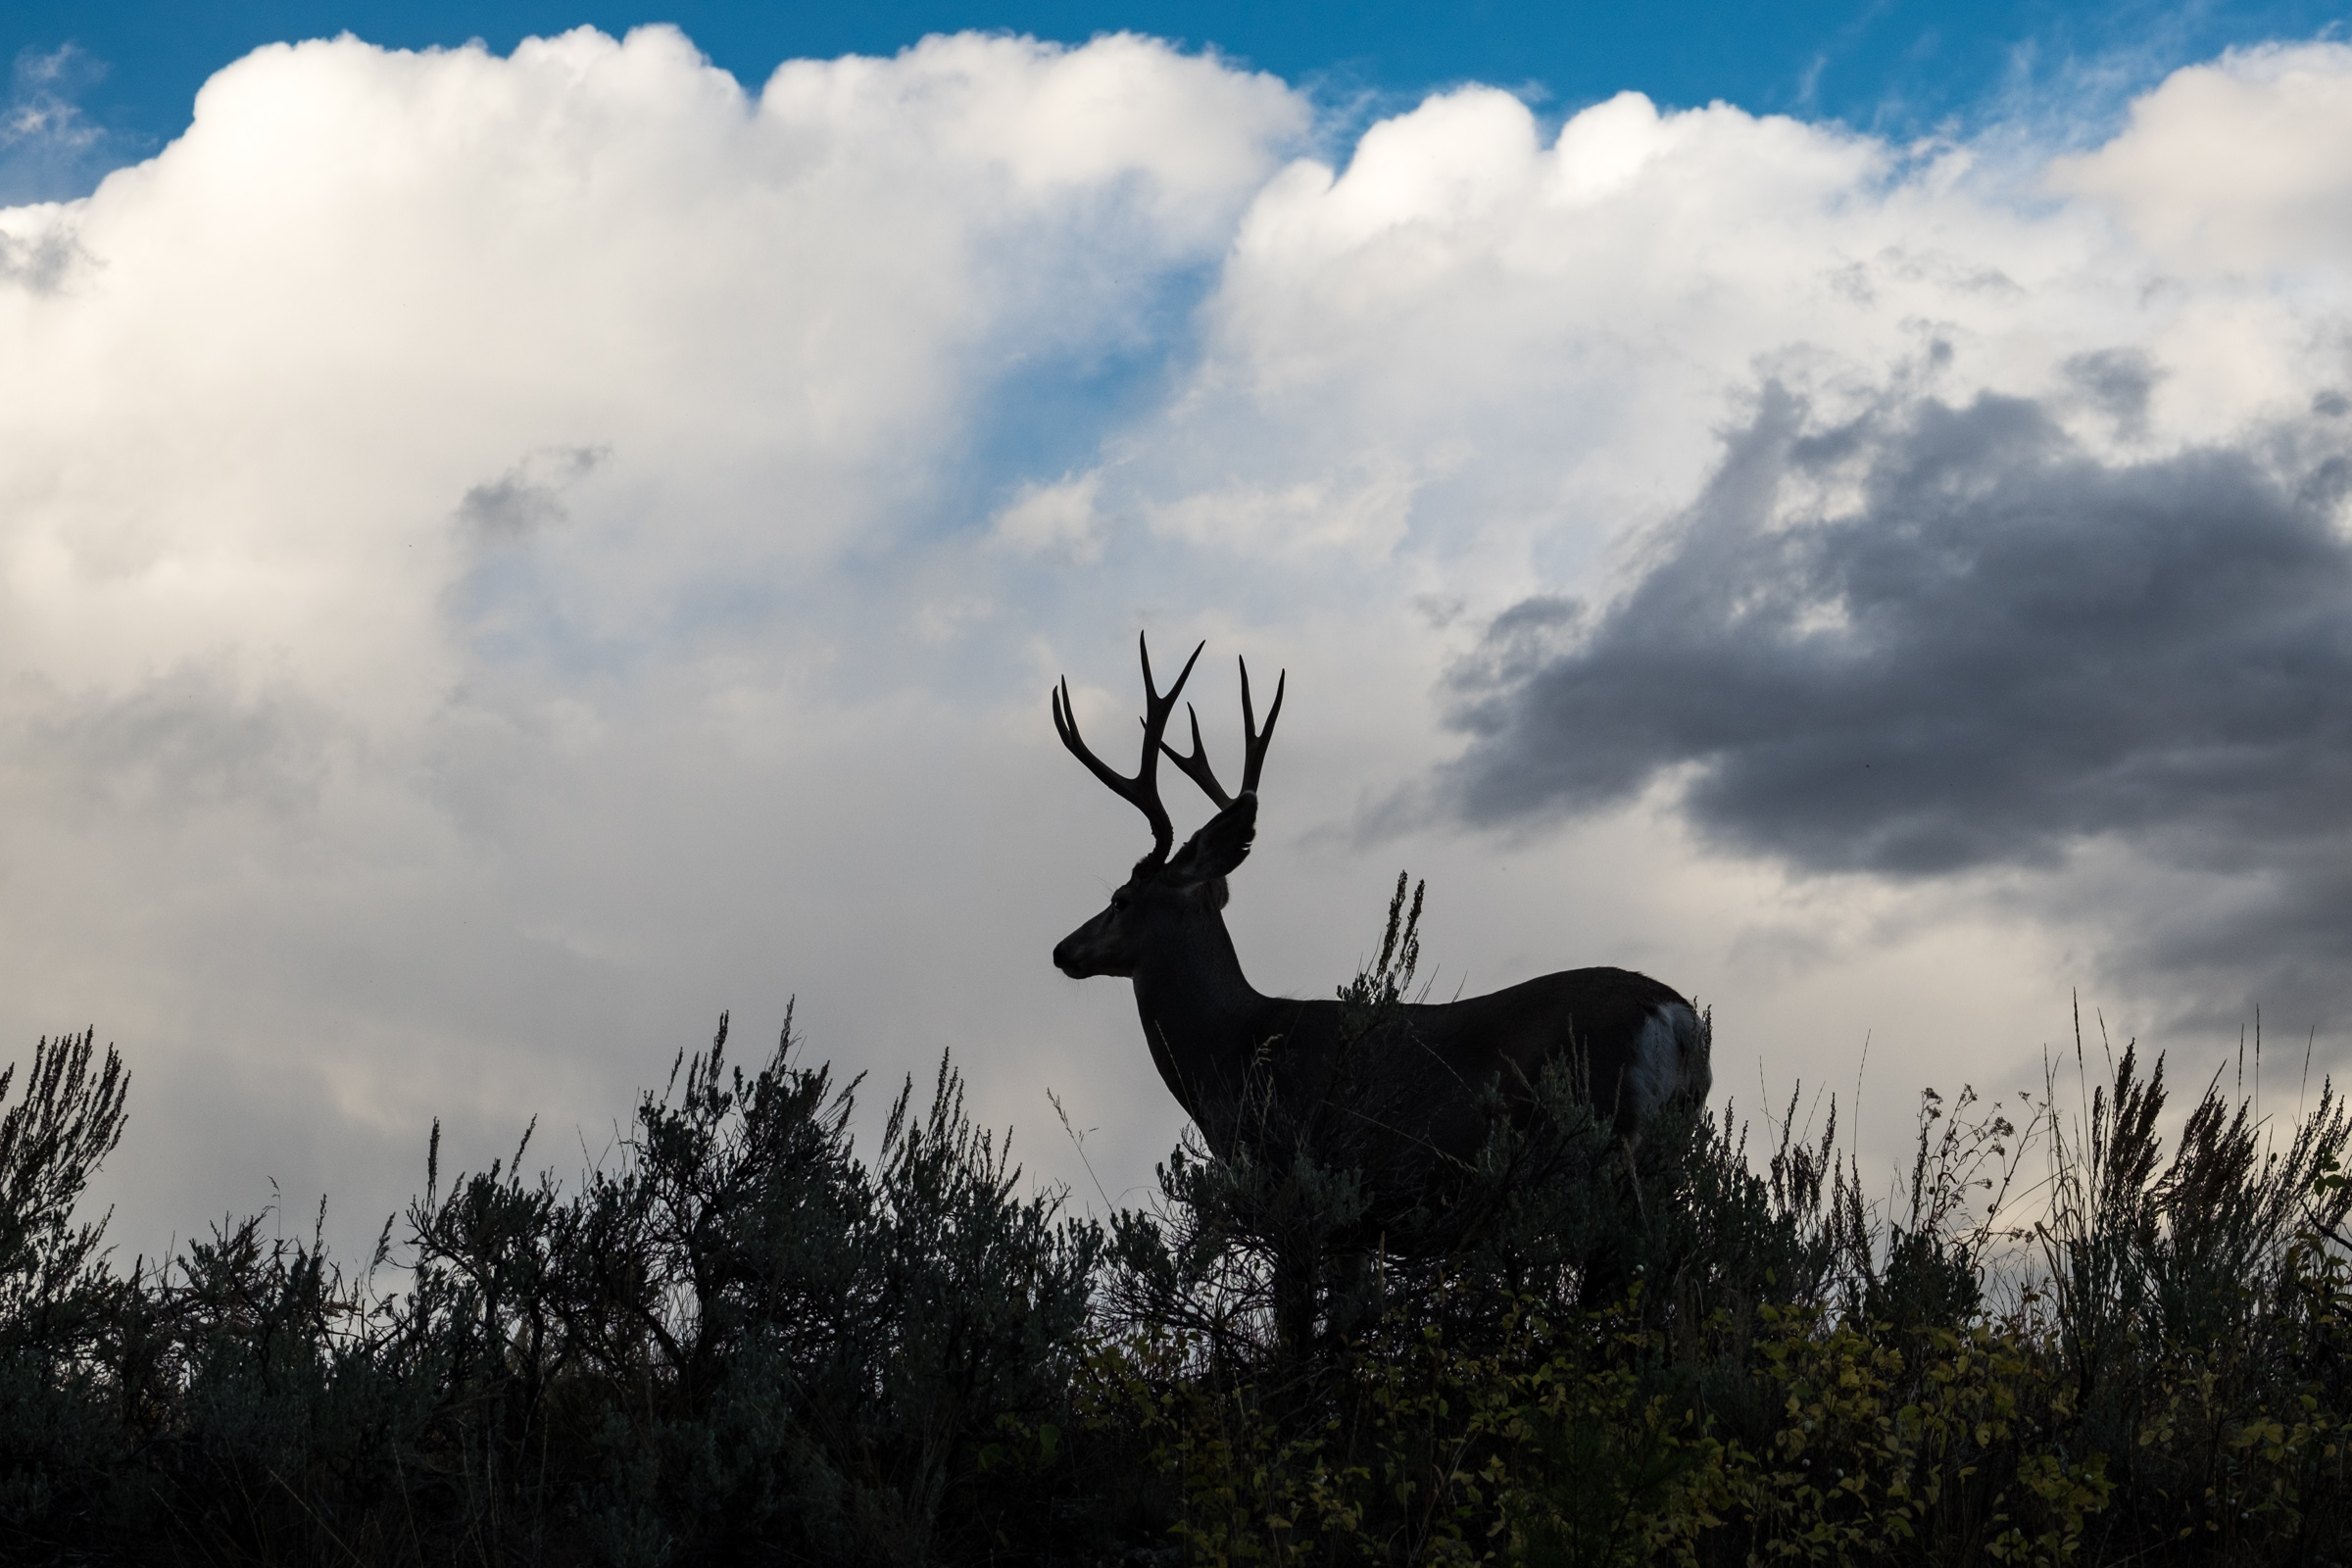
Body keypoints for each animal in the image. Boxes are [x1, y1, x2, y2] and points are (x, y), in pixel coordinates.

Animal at [1049, 634, 1712, 1241]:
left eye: (1120, 899)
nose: (1062, 950)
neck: (1232, 1046)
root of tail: (1677, 1017)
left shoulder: (1303, 1190)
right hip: (1668, 1152)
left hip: (1598, 1141)